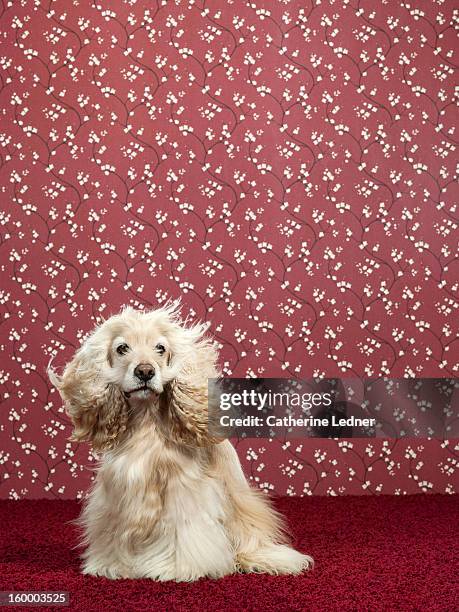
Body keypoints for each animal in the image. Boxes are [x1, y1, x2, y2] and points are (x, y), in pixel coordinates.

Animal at [50, 306, 314, 584]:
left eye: (160, 348)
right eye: (122, 348)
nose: (145, 371)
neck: (146, 422)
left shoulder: (183, 489)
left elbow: (182, 532)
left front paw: (176, 568)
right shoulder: (118, 494)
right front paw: (112, 564)